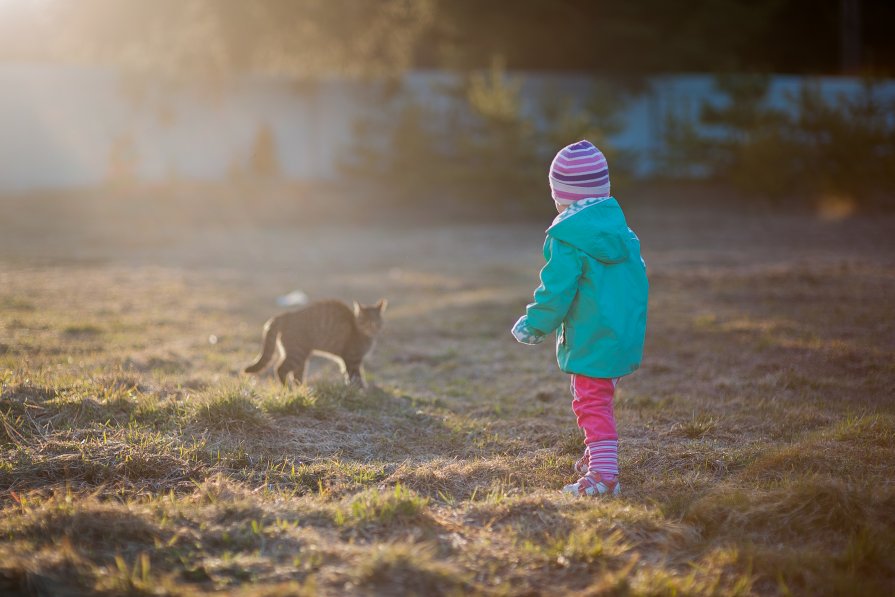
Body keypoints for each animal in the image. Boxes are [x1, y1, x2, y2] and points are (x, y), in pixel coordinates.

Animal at [243, 298, 386, 386]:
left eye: (376, 320)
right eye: (363, 320)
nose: (371, 326)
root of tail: (287, 314)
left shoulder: (348, 360)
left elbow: (349, 375)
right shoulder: (352, 358)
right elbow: (357, 377)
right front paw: (361, 391)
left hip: (301, 357)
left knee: (296, 375)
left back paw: (301, 390)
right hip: (297, 353)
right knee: (280, 369)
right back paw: (287, 389)